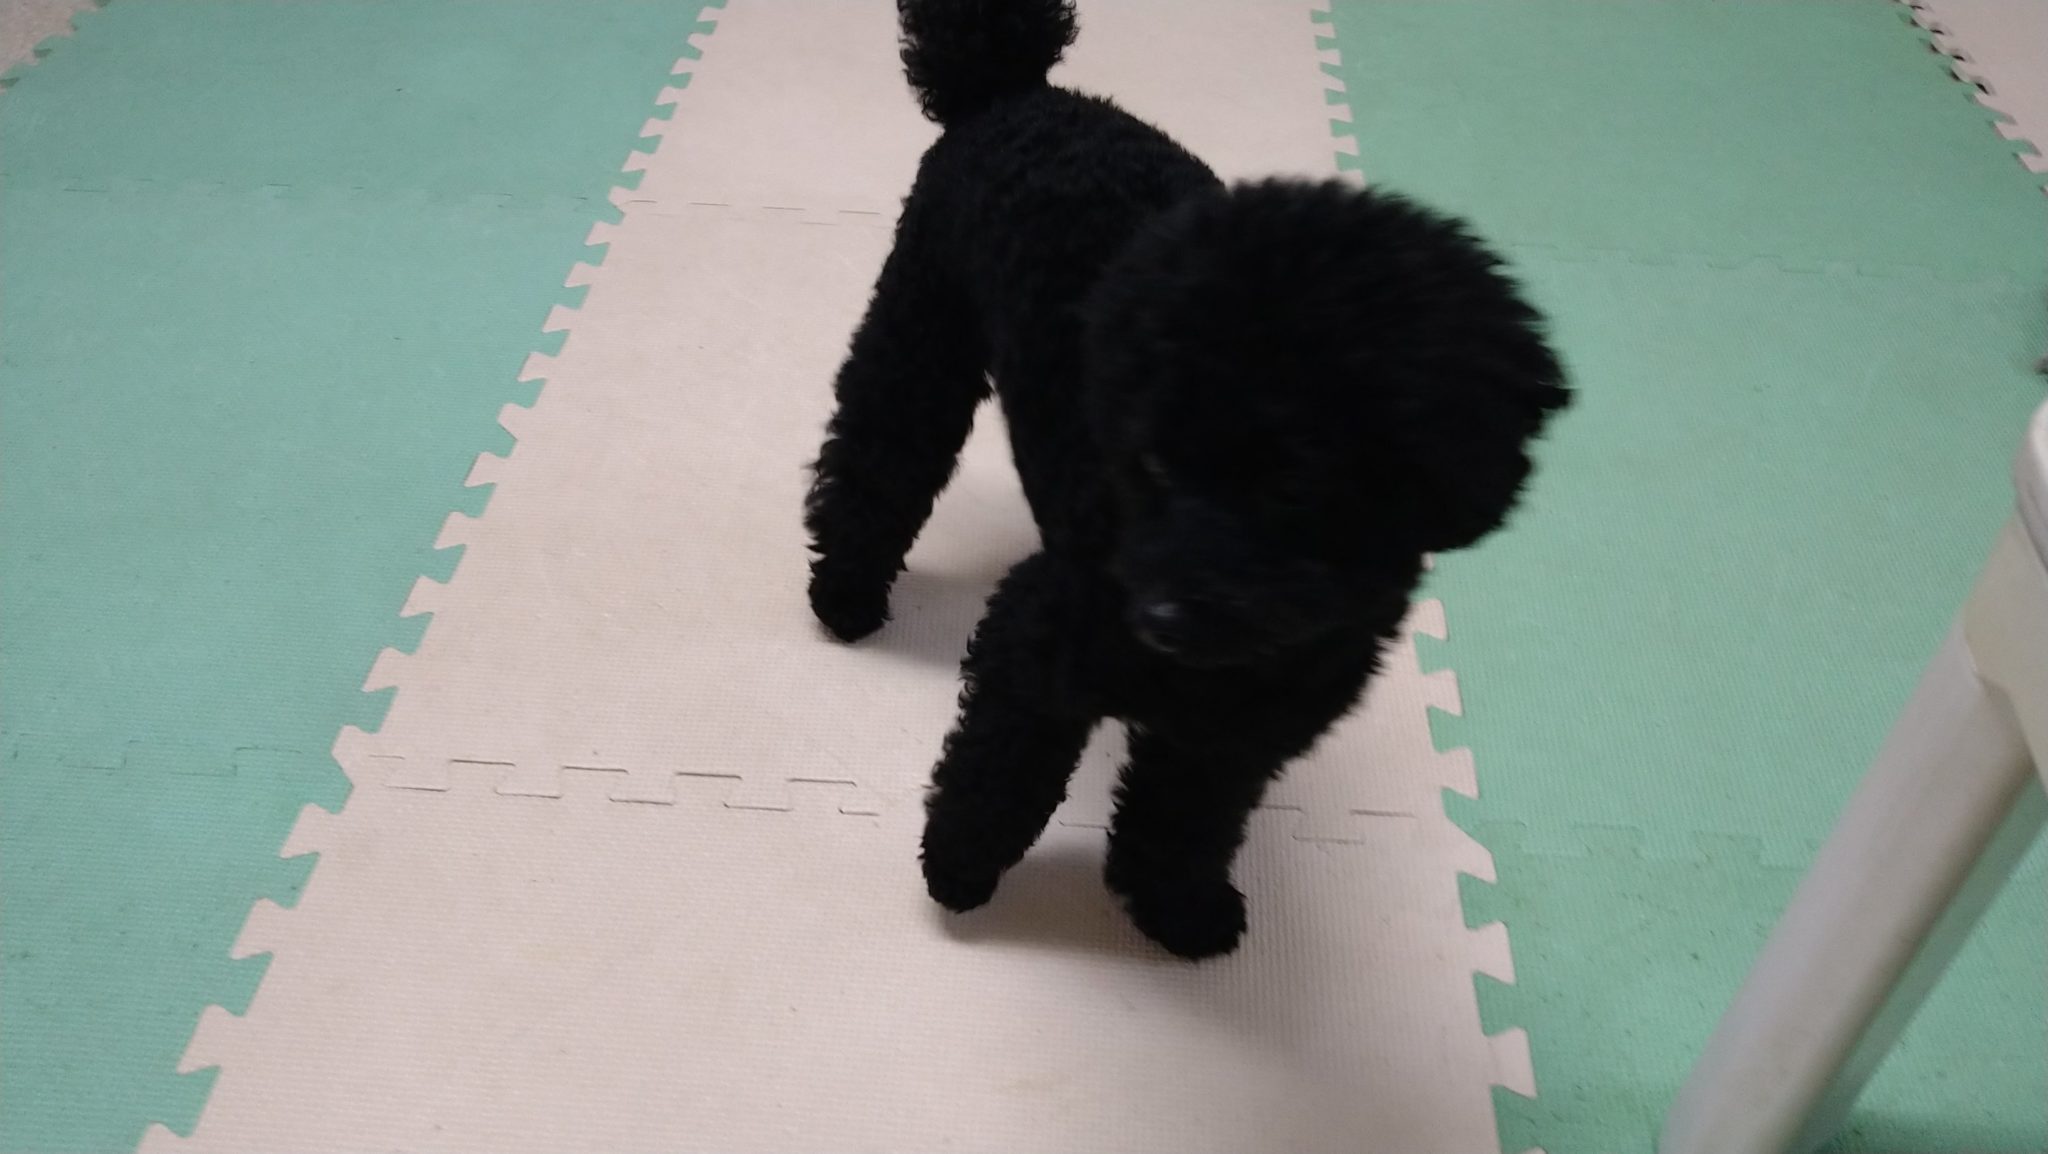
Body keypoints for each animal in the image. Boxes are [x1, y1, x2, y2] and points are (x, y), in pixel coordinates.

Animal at [804, 0, 1570, 959]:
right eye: (1154, 460)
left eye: (1296, 484)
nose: (1159, 620)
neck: (1243, 653)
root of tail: (1015, 88)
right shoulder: (1039, 640)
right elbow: (998, 775)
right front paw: (958, 871)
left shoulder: (1237, 737)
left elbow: (1185, 822)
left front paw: (1178, 910)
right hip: (922, 327)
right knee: (878, 453)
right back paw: (844, 593)